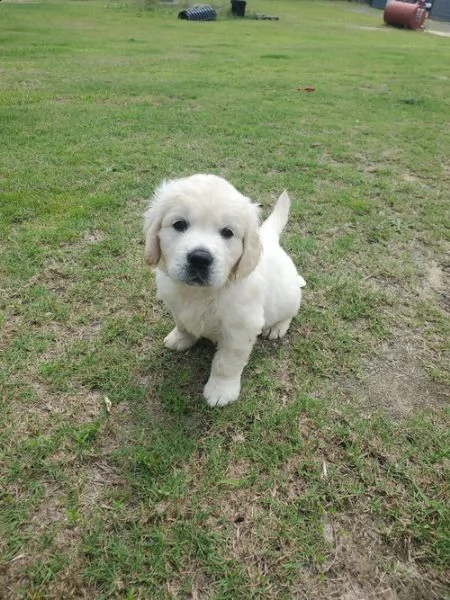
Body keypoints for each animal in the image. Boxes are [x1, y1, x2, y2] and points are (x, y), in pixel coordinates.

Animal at [144, 173, 306, 408]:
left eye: (227, 232)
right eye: (179, 224)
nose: (199, 259)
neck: (201, 293)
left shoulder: (240, 328)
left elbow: (226, 363)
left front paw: (221, 391)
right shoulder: (175, 304)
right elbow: (182, 324)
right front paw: (180, 339)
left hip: (288, 296)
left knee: (290, 311)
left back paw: (277, 327)